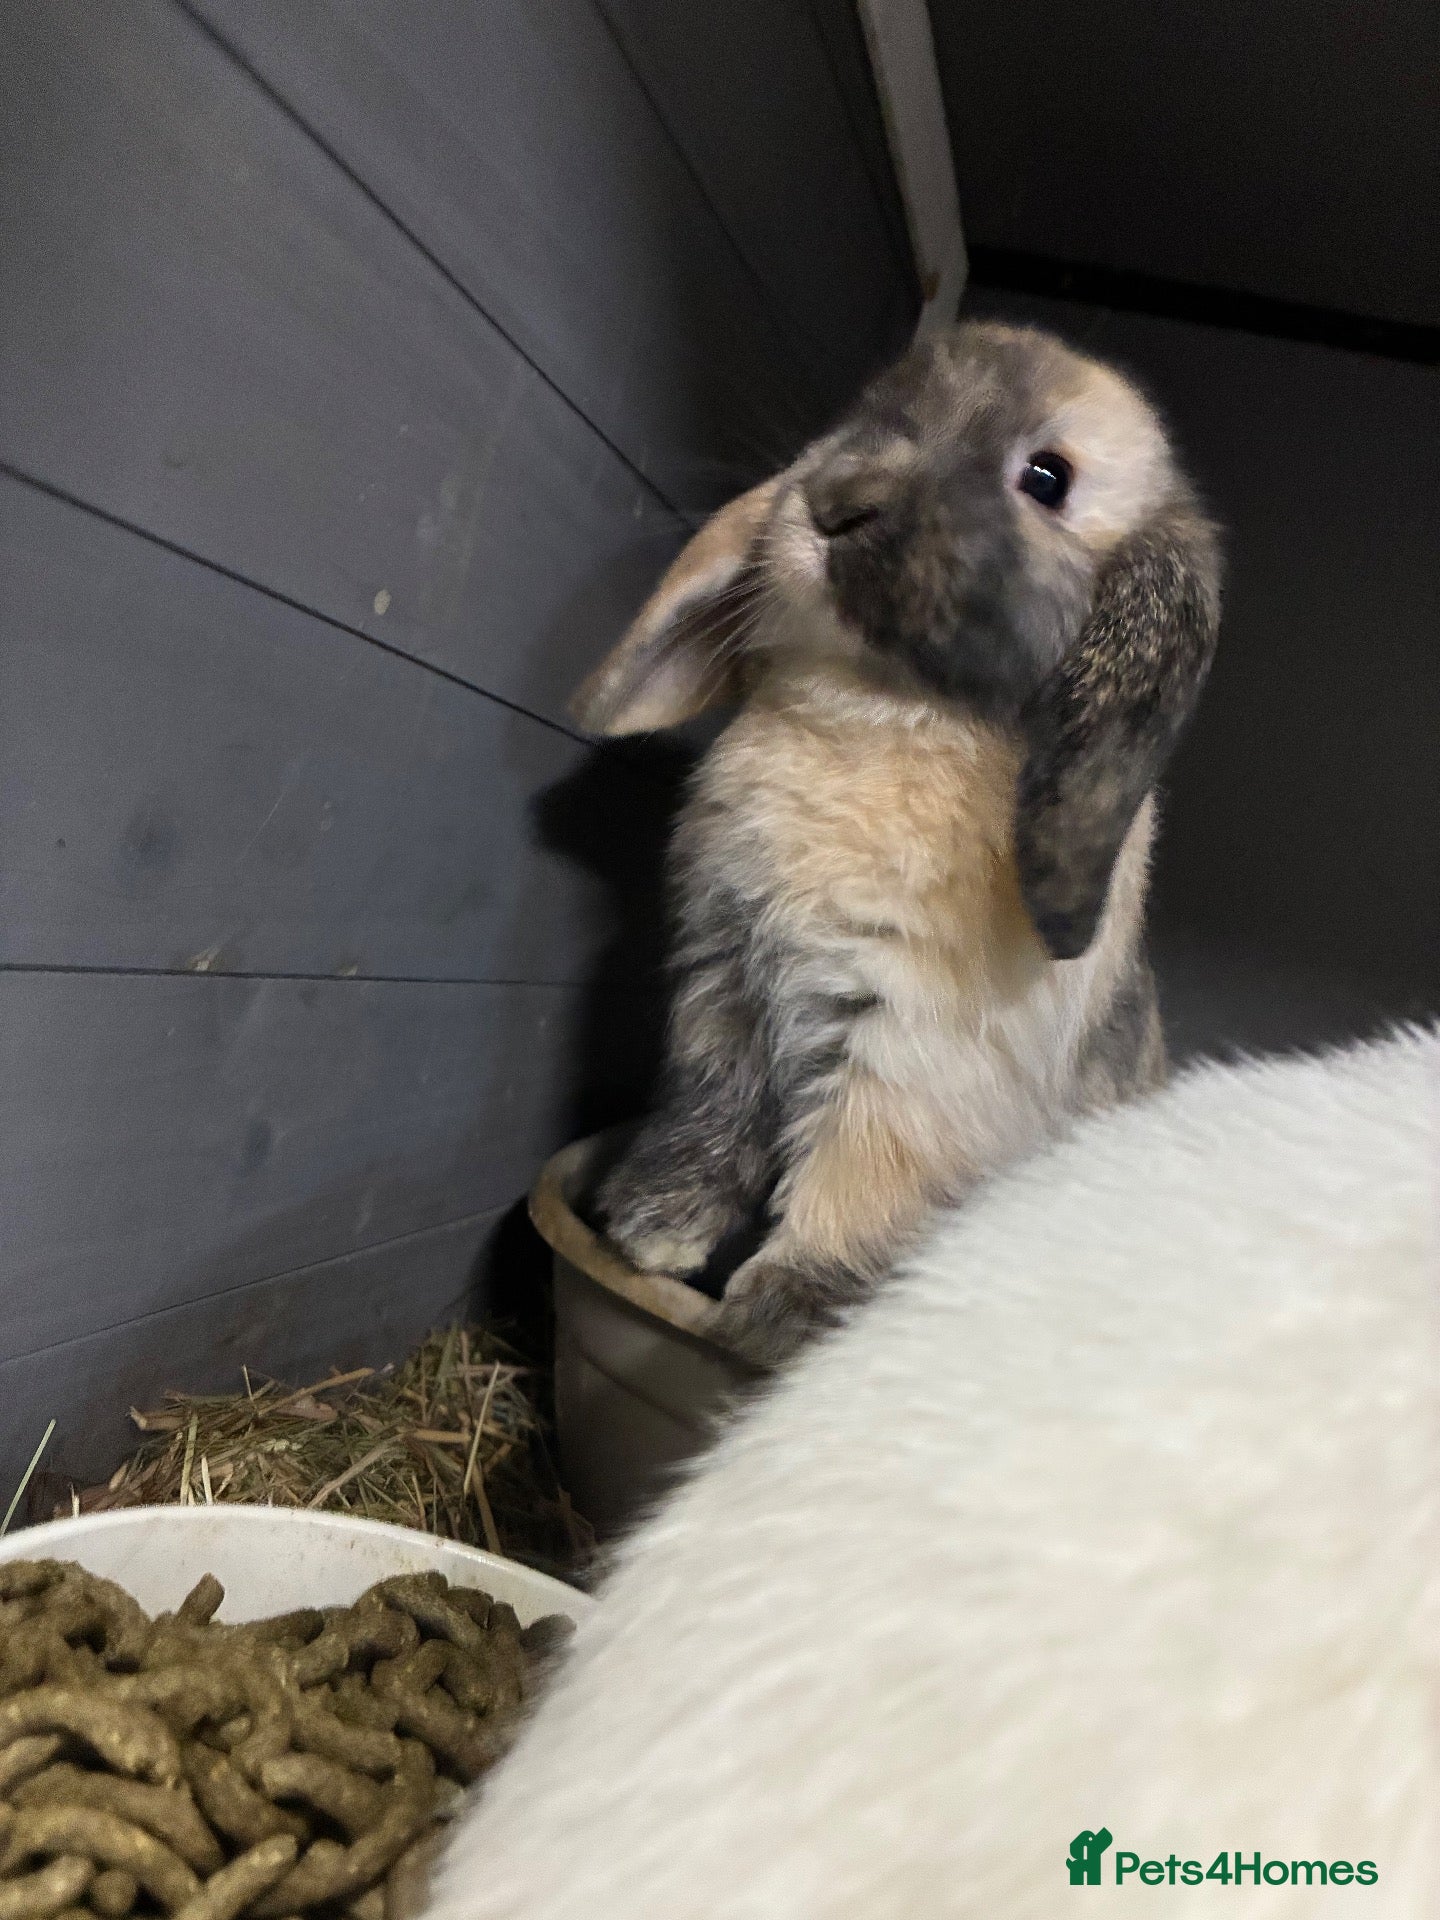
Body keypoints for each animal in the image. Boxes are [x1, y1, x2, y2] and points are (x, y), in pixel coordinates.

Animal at [571, 321, 1223, 1366]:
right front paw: (651, 1227)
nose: (835, 500)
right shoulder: (722, 981)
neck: (878, 701)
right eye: (872, 408)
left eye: (1047, 477)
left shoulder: (914, 1042)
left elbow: (861, 1173)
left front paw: (788, 1312)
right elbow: (709, 1104)